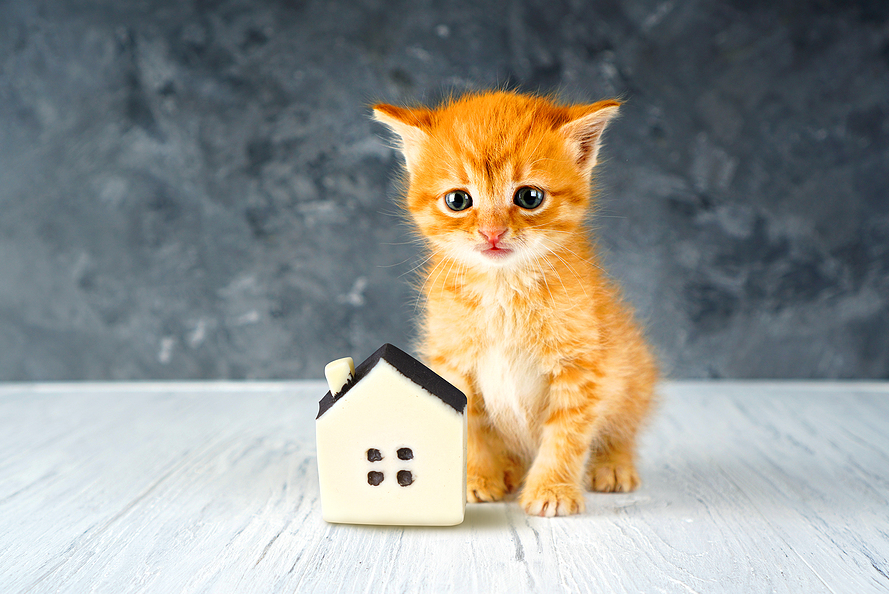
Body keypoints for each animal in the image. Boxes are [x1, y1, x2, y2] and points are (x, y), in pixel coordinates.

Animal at [372, 90, 656, 516]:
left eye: (529, 197)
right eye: (458, 200)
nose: (492, 232)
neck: (503, 289)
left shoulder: (581, 364)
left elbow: (567, 433)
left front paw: (553, 488)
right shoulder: (453, 361)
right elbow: (470, 427)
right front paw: (476, 478)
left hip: (632, 375)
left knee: (622, 427)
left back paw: (614, 464)